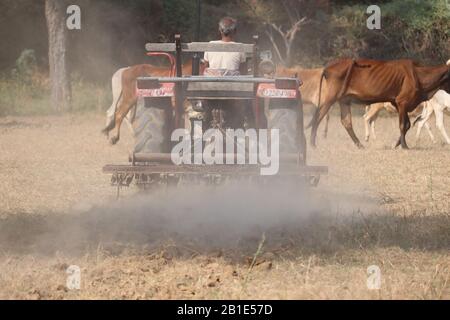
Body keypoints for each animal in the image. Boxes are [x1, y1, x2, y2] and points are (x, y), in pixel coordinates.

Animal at [312, 58, 448, 149]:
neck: (418, 75)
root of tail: (327, 68)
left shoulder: (399, 105)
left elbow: (408, 125)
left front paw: (397, 144)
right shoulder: (402, 102)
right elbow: (403, 125)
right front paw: (404, 145)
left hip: (344, 100)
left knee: (346, 122)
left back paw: (360, 145)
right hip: (331, 98)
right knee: (318, 116)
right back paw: (312, 143)